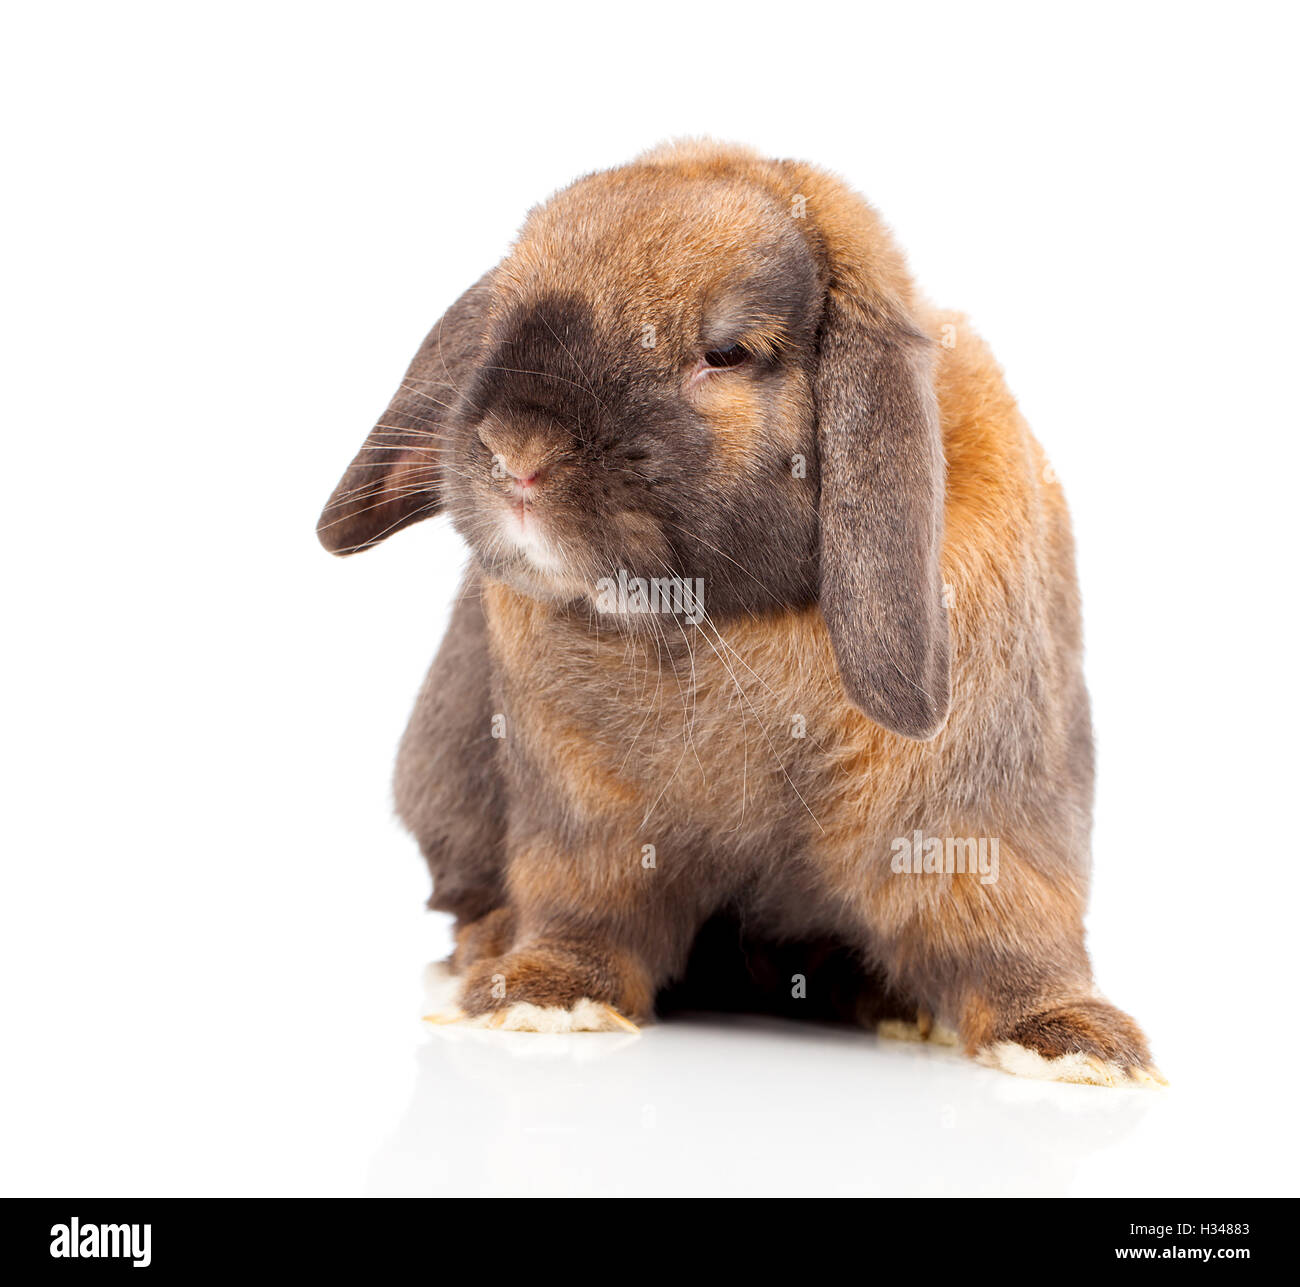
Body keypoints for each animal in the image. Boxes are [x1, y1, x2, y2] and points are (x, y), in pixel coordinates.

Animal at [318, 140, 1162, 1086]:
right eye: (506, 316)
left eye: (725, 351)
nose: (515, 453)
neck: (725, 621)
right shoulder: (587, 824)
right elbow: (584, 911)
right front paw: (540, 995)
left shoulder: (977, 820)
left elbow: (1011, 928)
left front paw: (1076, 1043)